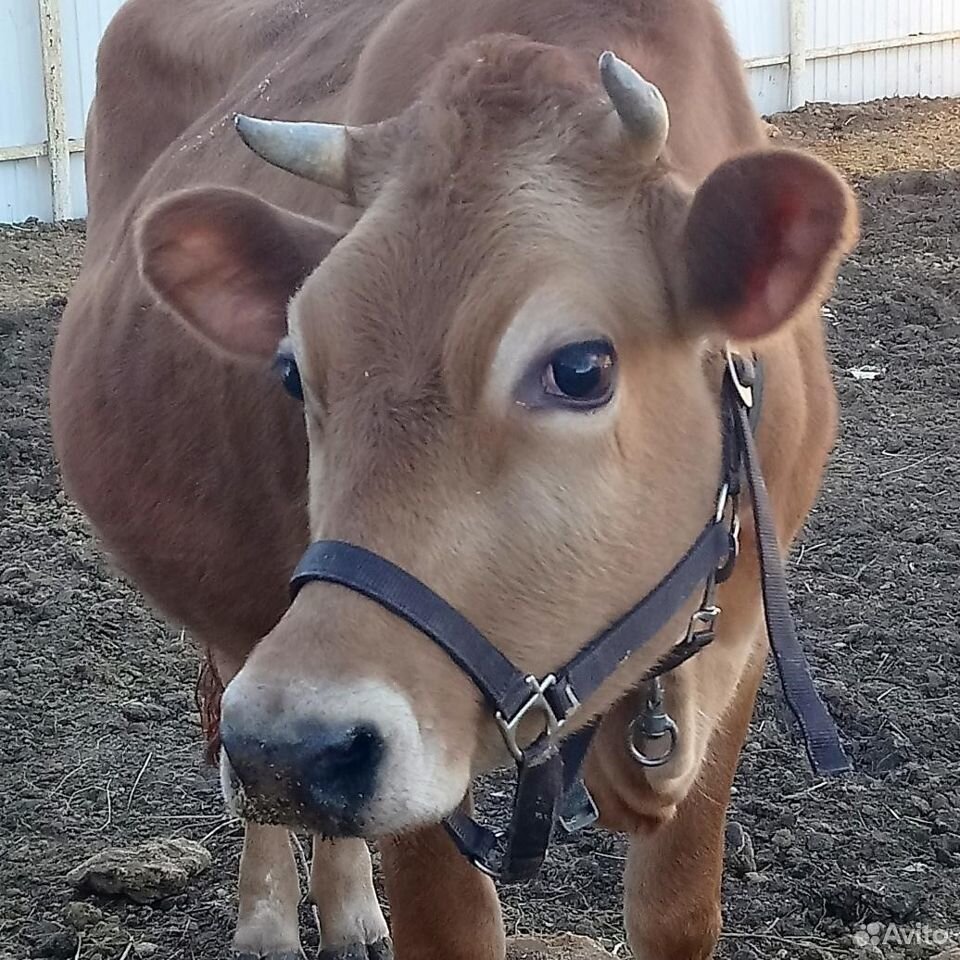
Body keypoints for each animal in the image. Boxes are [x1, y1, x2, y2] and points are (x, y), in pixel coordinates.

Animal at [52, 0, 860, 956]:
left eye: (581, 368)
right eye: (291, 370)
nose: (295, 748)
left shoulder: (738, 649)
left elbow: (678, 914)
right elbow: (453, 926)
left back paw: (350, 911)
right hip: (240, 621)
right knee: (230, 707)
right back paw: (271, 919)